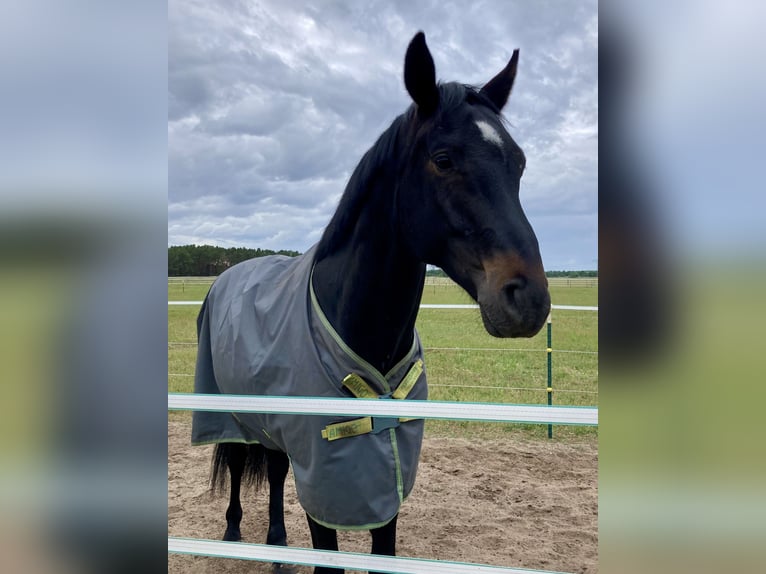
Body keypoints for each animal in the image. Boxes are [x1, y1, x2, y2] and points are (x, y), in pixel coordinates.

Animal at [192, 32, 552, 574]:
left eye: (520, 162)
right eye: (443, 158)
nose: (528, 298)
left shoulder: (385, 479)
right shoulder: (324, 481)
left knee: (274, 470)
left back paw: (276, 544)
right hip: (230, 411)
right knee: (237, 462)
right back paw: (234, 531)